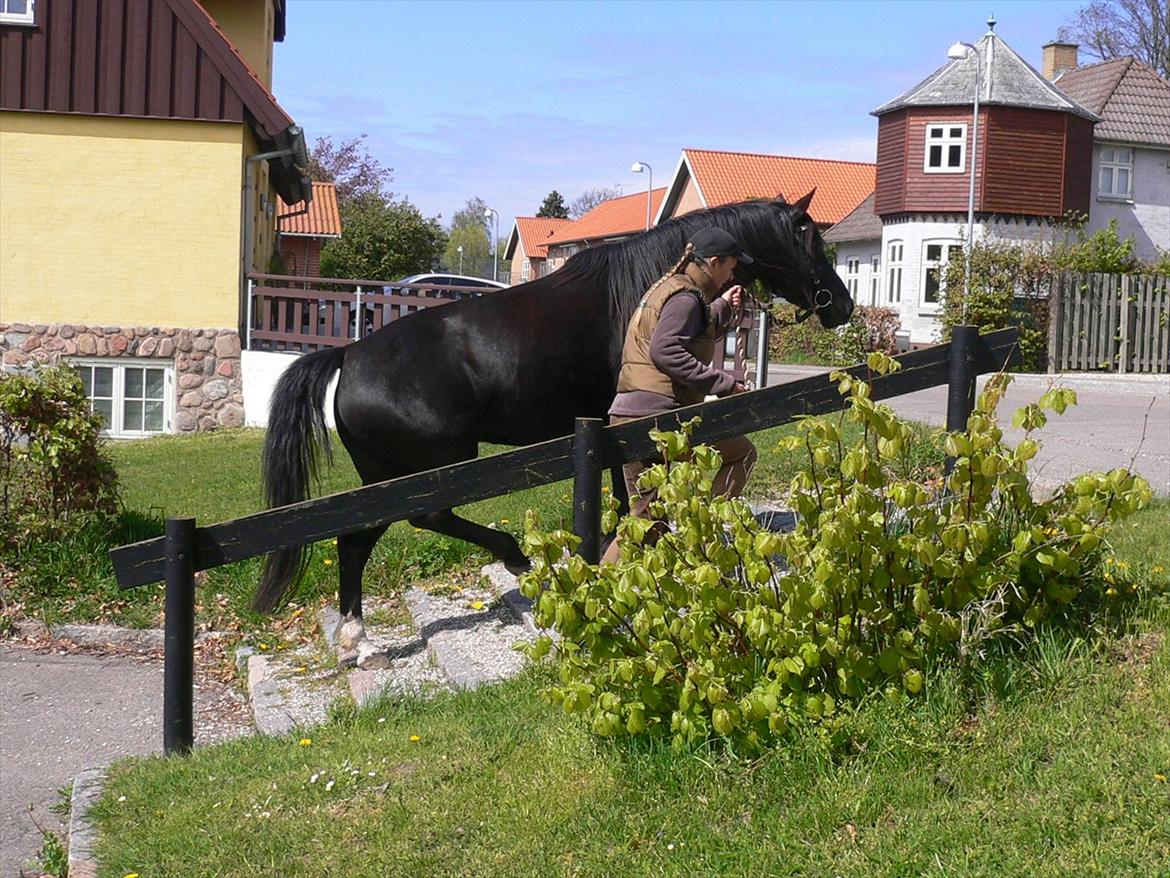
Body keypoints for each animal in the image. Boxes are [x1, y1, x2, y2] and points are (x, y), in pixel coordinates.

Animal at [253, 189, 851, 664]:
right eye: (809, 239)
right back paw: (506, 562)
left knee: (356, 540)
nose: (842, 305)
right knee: (416, 521)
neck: (638, 290)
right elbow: (628, 497)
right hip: (431, 469)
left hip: (384, 478)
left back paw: (359, 638)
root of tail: (349, 355)